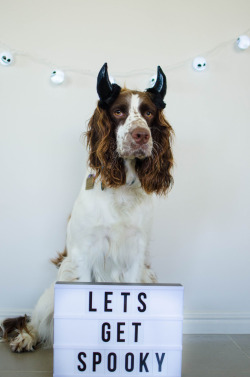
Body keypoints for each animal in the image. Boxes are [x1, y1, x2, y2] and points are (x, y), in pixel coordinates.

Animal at [1, 63, 174, 352]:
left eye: (148, 113)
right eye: (118, 111)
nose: (141, 135)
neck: (121, 188)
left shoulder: (136, 257)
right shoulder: (83, 254)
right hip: (56, 283)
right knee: (34, 321)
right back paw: (26, 337)